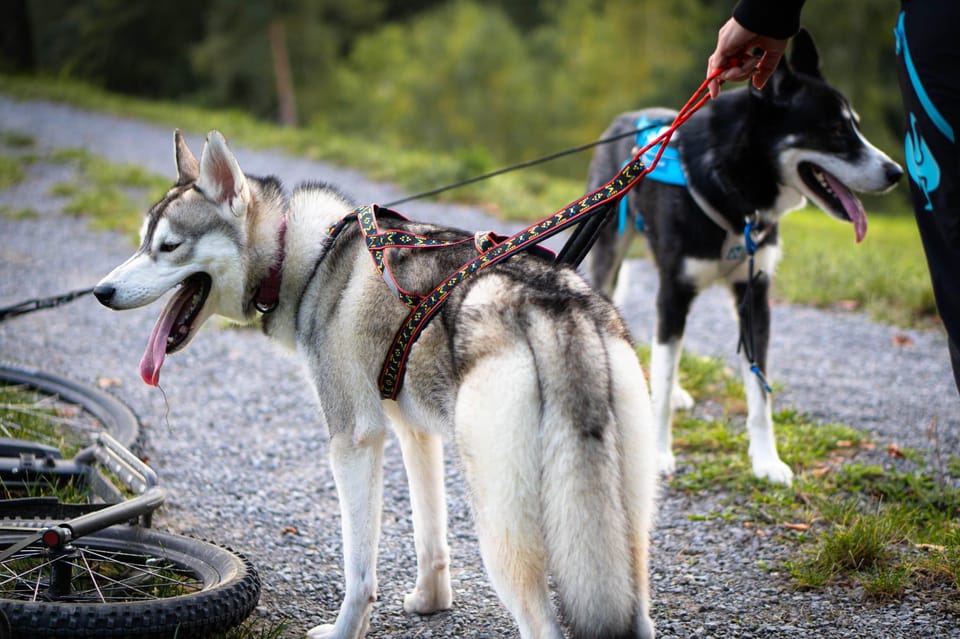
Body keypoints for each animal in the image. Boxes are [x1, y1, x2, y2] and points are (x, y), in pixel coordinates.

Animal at [580, 27, 904, 482]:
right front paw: (660, 452)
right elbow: (663, 372)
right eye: (837, 132)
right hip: (609, 253)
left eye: (855, 126)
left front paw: (766, 460)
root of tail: (626, 118)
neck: (734, 188)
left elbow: (758, 391)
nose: (897, 173)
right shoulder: (674, 291)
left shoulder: (755, 295)